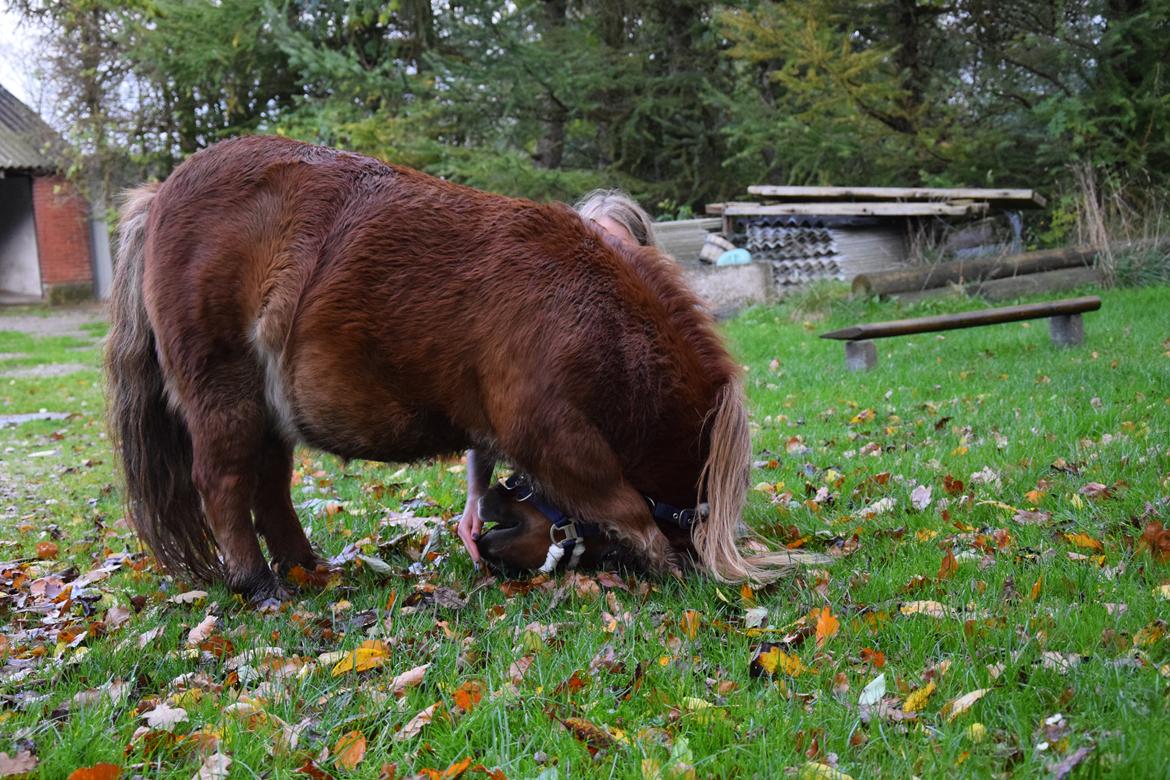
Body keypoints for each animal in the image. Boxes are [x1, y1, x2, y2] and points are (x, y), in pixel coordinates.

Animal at [109, 135, 819, 603]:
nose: (501, 505)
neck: (600, 321)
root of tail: (161, 193)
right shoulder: (556, 438)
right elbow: (627, 508)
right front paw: (669, 567)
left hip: (265, 411)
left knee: (269, 488)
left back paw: (308, 570)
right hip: (223, 396)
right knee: (226, 484)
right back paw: (260, 585)